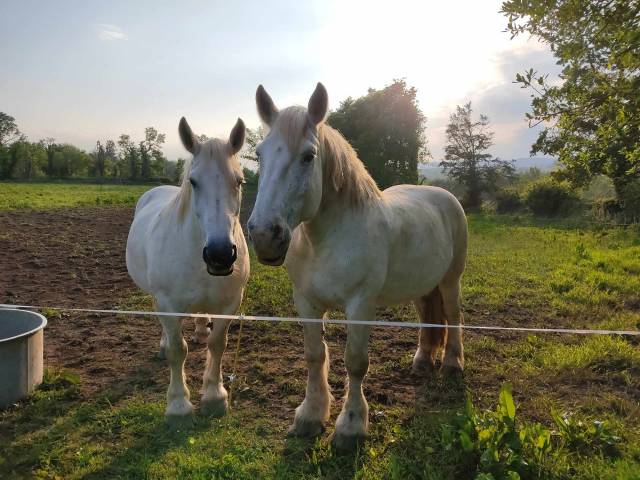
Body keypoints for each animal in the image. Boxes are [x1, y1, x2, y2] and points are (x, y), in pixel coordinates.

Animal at [126, 117, 249, 423]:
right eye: (194, 181)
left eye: (239, 181)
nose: (220, 255)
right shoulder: (168, 304)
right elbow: (177, 350)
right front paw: (179, 406)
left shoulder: (230, 303)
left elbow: (217, 344)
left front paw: (215, 396)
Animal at [247, 83, 467, 450]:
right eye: (260, 154)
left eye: (308, 156)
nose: (265, 235)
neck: (326, 240)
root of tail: (442, 195)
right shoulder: (306, 302)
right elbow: (314, 355)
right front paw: (310, 416)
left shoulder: (360, 304)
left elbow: (355, 362)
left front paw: (350, 427)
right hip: (422, 285)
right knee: (428, 317)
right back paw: (423, 361)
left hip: (451, 281)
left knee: (452, 315)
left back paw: (452, 364)